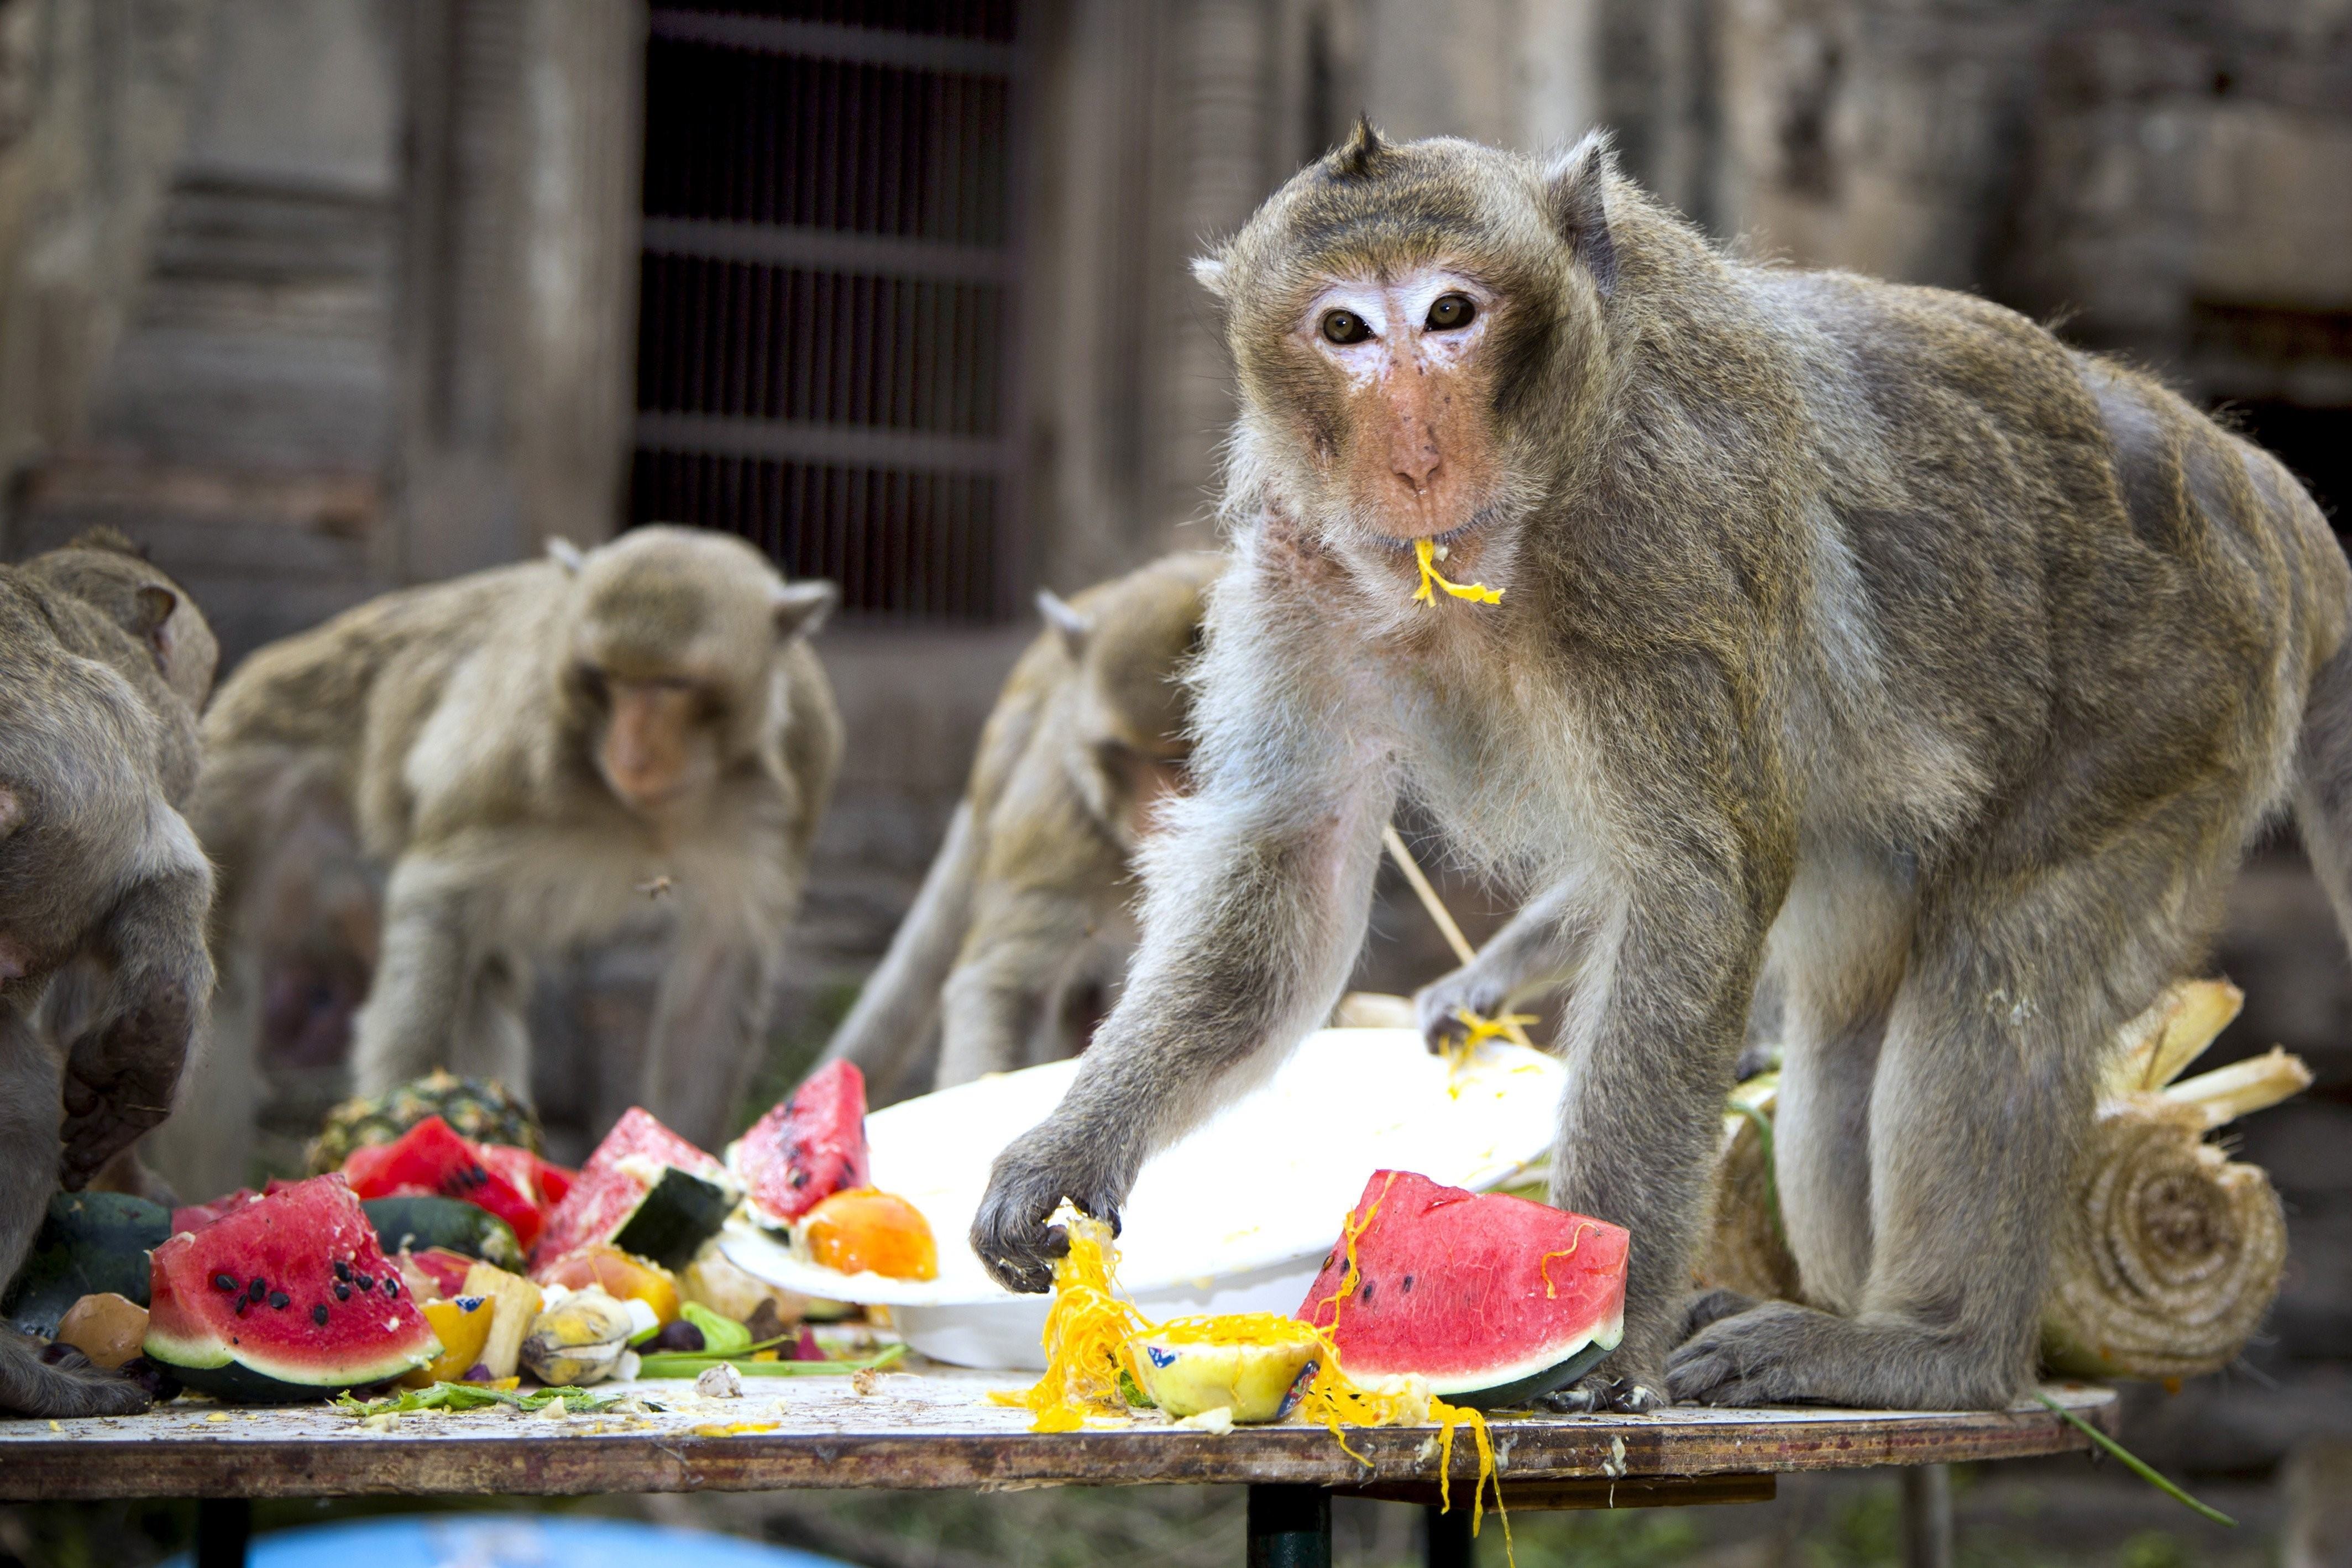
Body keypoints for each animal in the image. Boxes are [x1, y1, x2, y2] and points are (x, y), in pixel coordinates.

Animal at [156, 526, 842, 1189]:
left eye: (671, 684)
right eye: (605, 679)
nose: (632, 754)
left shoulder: (794, 771)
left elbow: (715, 973)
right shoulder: (519, 757)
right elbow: (438, 893)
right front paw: (404, 1143)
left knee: (484, 975)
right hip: (245, 793)